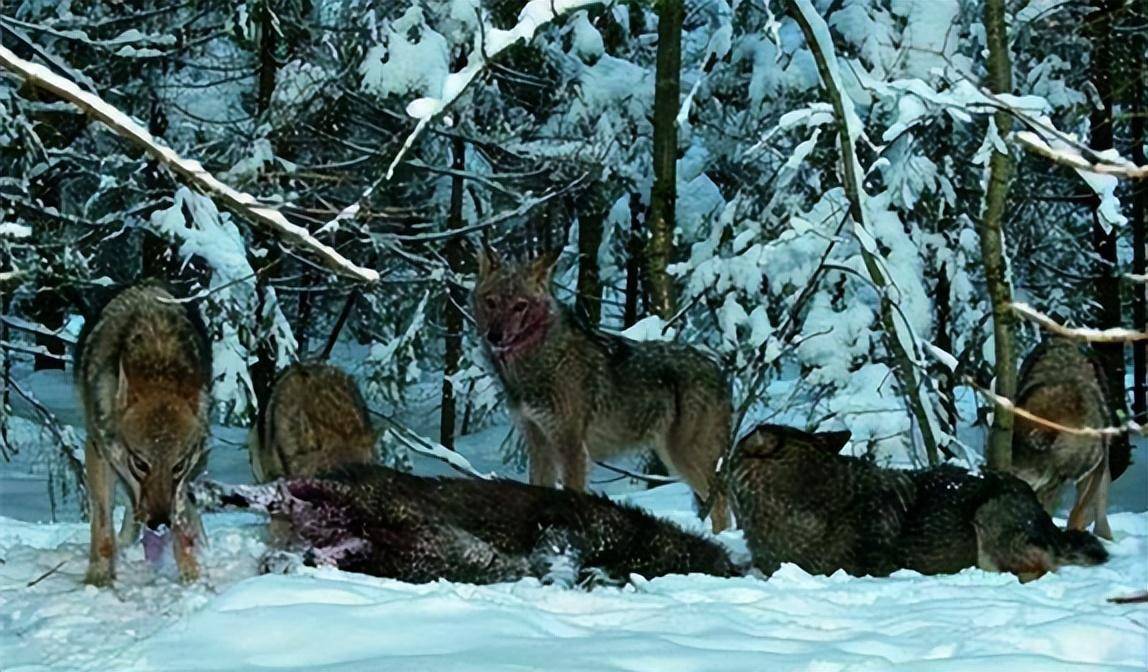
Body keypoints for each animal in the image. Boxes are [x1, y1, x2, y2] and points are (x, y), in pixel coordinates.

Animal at [75, 277, 212, 581]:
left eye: (177, 466)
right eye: (140, 463)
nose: (159, 523)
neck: (157, 363)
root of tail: (144, 282)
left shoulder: (180, 481)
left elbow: (182, 526)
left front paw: (193, 578)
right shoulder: (99, 452)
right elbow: (102, 527)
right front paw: (99, 579)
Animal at [470, 249, 730, 533]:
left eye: (520, 305)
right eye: (491, 302)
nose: (494, 336)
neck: (538, 362)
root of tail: (718, 370)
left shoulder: (571, 445)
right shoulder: (538, 443)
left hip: (684, 456)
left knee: (721, 503)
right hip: (673, 457)